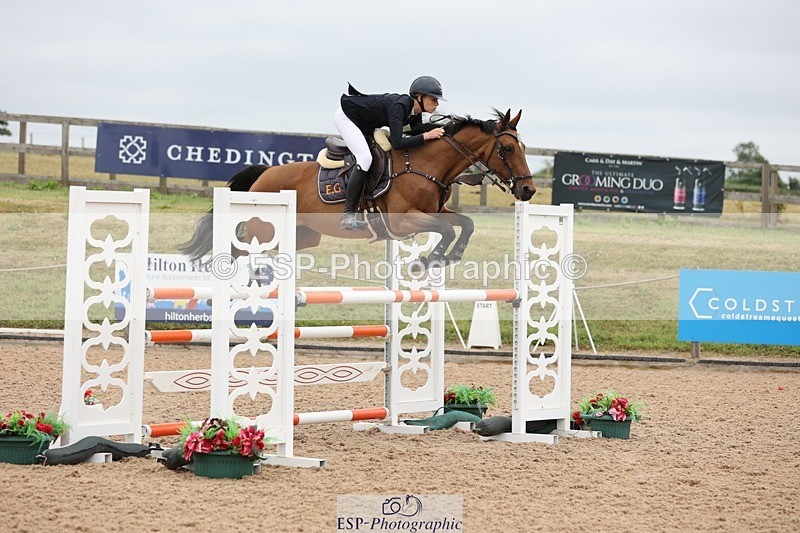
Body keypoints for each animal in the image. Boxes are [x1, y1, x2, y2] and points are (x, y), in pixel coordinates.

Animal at [181, 108, 536, 268]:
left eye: (523, 147)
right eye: (507, 149)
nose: (529, 191)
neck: (425, 165)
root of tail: (264, 174)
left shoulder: (437, 211)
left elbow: (465, 222)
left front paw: (450, 257)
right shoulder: (403, 221)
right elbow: (446, 230)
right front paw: (429, 260)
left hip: (300, 236)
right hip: (264, 230)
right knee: (237, 250)